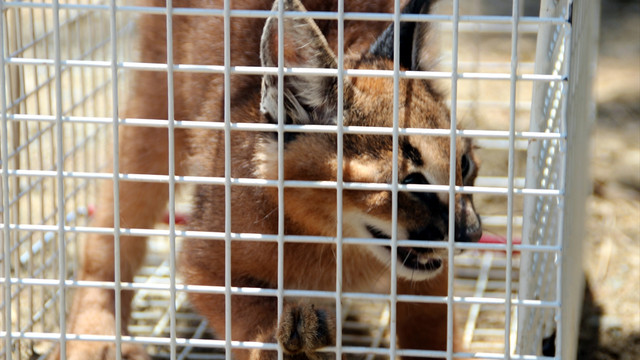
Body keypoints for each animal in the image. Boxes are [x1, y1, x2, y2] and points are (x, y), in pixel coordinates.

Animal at [55, 0, 480, 360]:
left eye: (464, 164)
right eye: (411, 183)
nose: (472, 233)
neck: (329, 236)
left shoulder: (425, 272)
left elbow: (428, 319)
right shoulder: (205, 264)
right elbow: (250, 310)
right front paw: (285, 338)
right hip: (155, 108)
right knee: (114, 219)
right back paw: (94, 336)